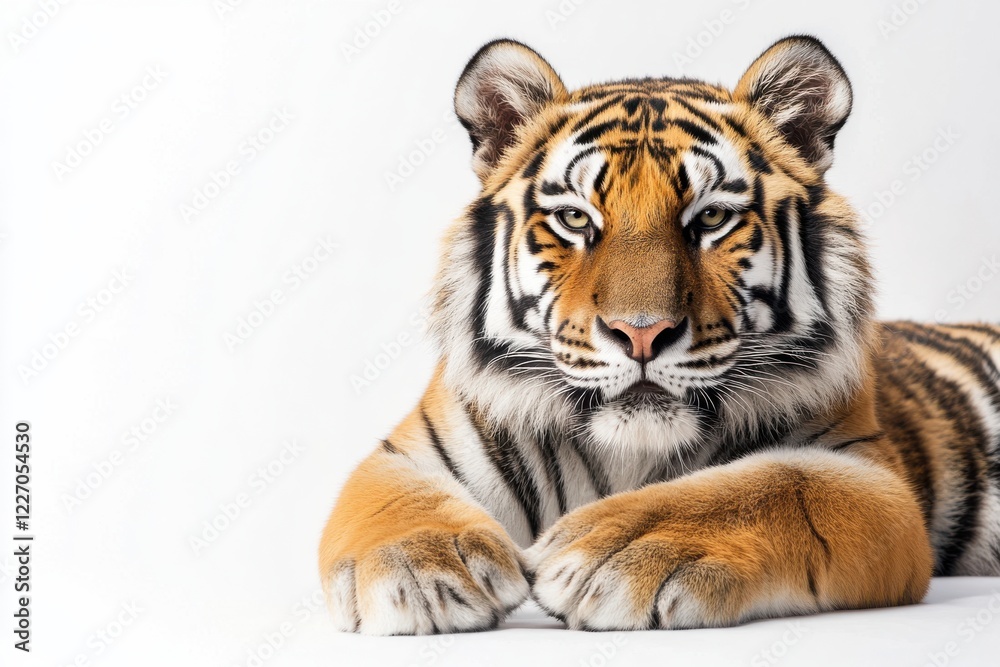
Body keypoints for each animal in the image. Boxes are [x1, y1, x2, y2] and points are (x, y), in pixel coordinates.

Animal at [319, 36, 1000, 634]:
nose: (641, 333)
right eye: (575, 219)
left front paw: (613, 551)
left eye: (712, 218)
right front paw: (422, 572)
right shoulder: (409, 453)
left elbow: (774, 485)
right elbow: (396, 502)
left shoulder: (869, 477)